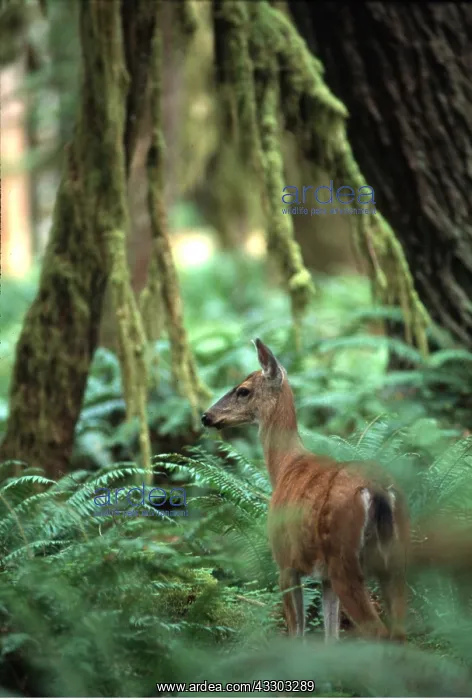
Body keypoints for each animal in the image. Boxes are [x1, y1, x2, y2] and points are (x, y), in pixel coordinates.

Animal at [201, 339, 409, 642]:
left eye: (243, 390)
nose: (206, 416)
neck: (285, 466)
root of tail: (377, 490)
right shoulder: (324, 578)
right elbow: (330, 637)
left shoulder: (285, 562)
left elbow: (296, 634)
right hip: (395, 559)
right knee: (400, 631)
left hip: (345, 560)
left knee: (378, 631)